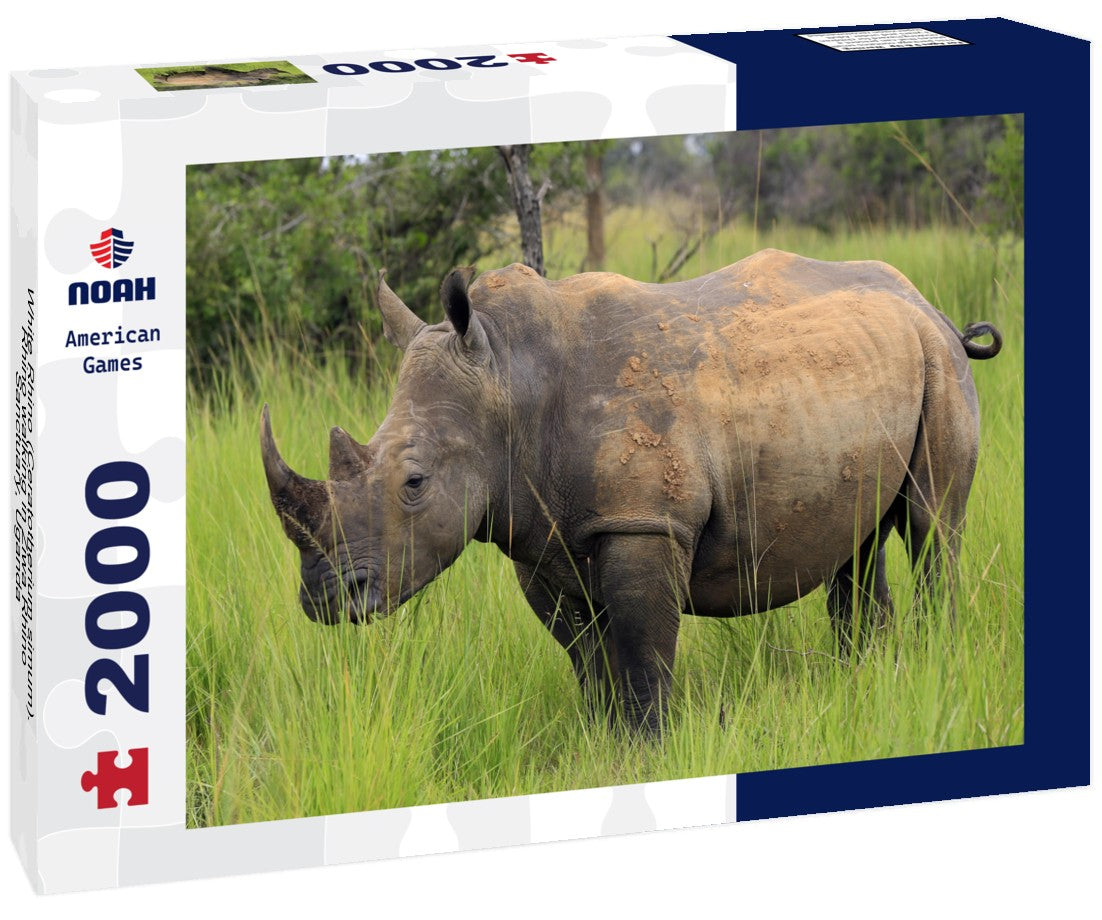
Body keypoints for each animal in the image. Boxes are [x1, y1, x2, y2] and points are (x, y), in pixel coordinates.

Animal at [261, 249, 1002, 734]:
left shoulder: (644, 521)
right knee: (857, 541)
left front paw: (650, 748)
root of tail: (930, 305)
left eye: (413, 484)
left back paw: (934, 664)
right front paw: (604, 746)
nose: (324, 599)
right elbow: (588, 660)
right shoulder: (538, 536)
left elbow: (643, 654)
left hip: (938, 361)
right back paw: (865, 679)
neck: (509, 384)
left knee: (934, 526)